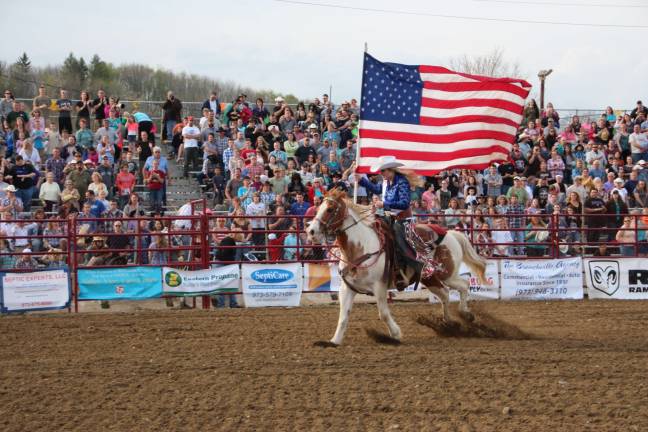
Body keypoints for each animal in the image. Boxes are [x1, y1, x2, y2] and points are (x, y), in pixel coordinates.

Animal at [308, 191, 486, 346]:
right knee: (446, 294)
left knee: (464, 285)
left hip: (446, 274)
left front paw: (395, 334)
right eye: (318, 208)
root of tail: (452, 233)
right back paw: (449, 324)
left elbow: (383, 313)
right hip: (430, 278)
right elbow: (343, 316)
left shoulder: (379, 286)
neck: (361, 247)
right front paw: (334, 341)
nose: (311, 231)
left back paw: (465, 314)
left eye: (330, 209)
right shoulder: (347, 288)